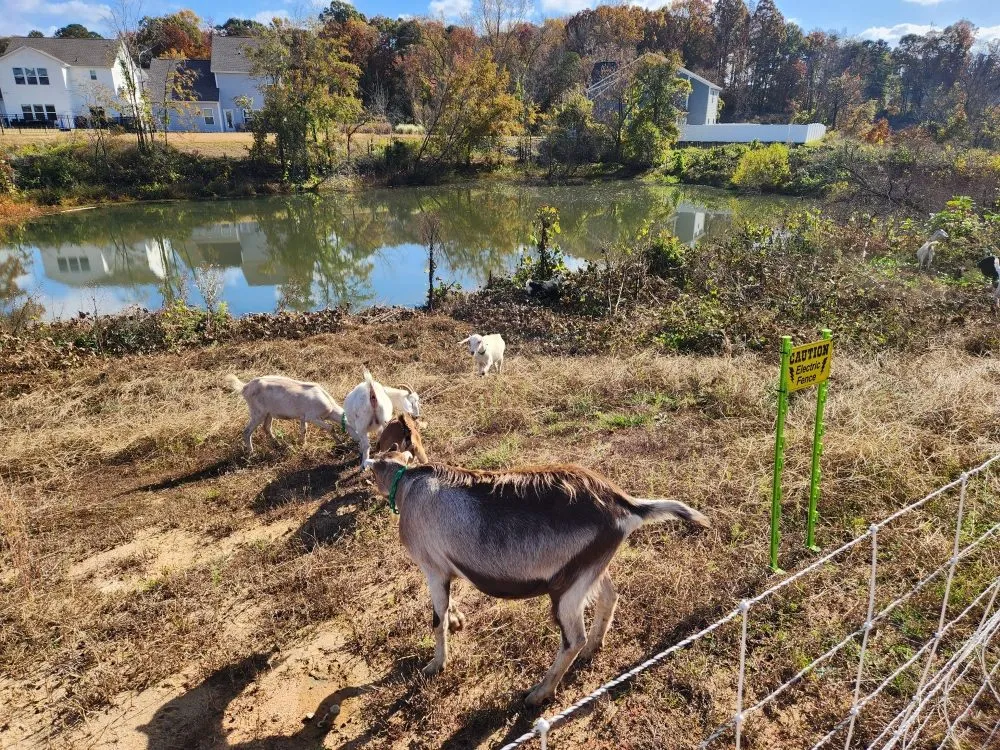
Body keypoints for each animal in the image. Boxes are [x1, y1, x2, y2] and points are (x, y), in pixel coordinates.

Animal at [370, 453, 710, 706]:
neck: (409, 484)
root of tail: (624, 504)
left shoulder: (433, 569)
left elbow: (436, 618)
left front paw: (435, 664)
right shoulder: (446, 571)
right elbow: (448, 606)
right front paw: (457, 621)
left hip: (566, 591)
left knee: (573, 638)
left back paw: (539, 693)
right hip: (591, 569)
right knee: (609, 598)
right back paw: (592, 649)